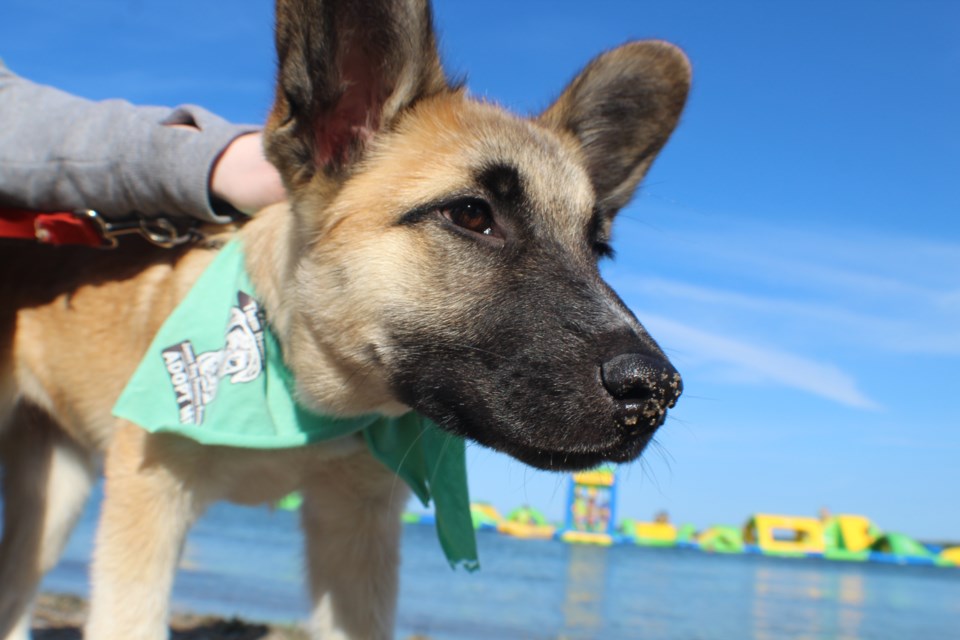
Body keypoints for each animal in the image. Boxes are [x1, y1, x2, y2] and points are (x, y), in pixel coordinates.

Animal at [0, 1, 688, 640]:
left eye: (598, 249)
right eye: (471, 215)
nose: (658, 392)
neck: (305, 395)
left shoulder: (358, 534)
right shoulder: (146, 509)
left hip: (56, 493)